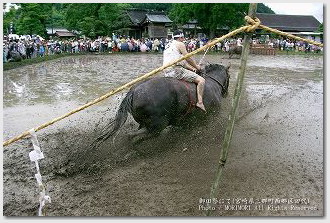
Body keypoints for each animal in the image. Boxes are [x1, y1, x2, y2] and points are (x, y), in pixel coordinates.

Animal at [92, 63, 229, 146]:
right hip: (158, 125)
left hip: (146, 123)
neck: (212, 83)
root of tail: (133, 91)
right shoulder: (209, 118)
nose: (226, 93)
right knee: (133, 135)